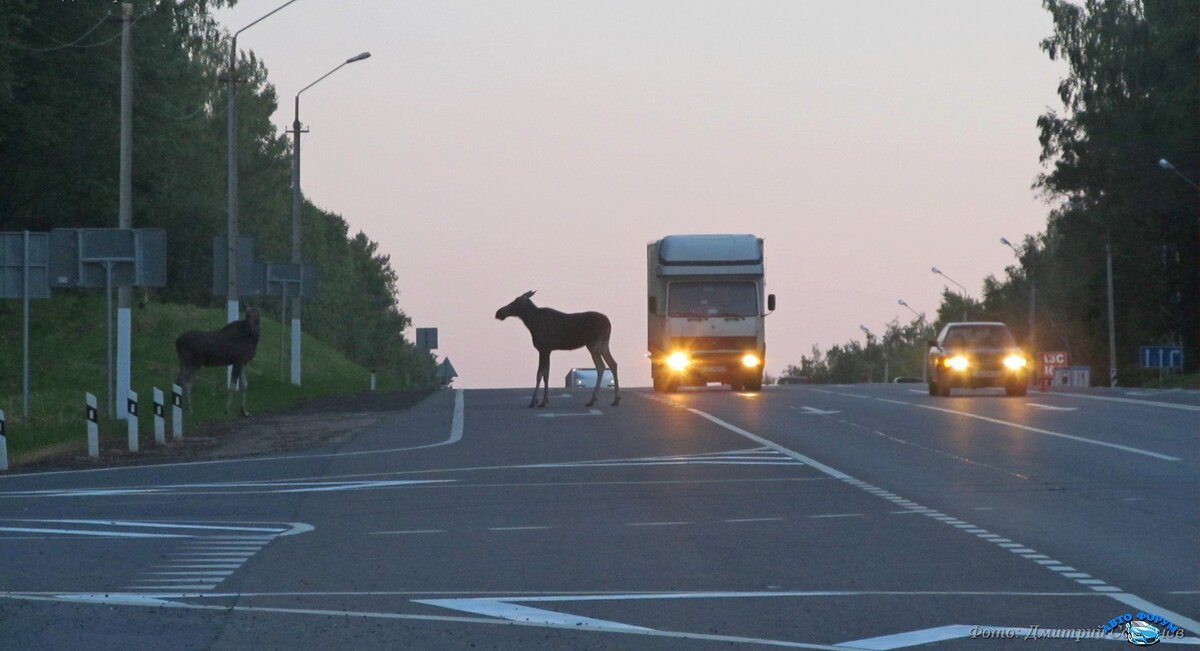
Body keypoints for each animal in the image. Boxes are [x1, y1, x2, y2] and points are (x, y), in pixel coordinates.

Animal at [496, 290, 624, 408]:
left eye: (516, 301)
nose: (499, 312)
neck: (532, 324)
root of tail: (609, 323)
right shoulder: (548, 350)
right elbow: (546, 375)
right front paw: (545, 400)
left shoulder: (543, 348)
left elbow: (539, 374)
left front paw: (535, 401)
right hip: (604, 344)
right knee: (613, 363)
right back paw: (615, 399)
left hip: (593, 345)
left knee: (601, 366)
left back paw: (593, 400)